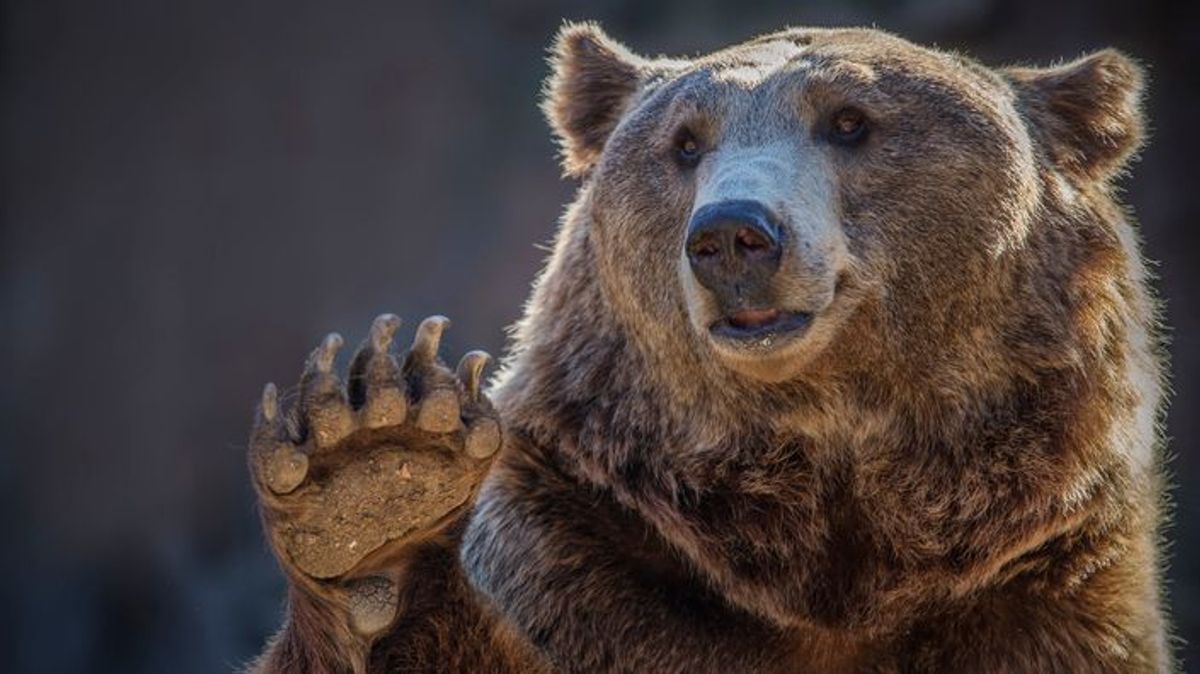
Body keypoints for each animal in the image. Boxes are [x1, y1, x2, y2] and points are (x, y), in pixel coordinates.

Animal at [243, 20, 1171, 671]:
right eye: (685, 142)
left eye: (851, 121)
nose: (732, 235)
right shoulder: (587, 560)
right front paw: (373, 480)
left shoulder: (1038, 590)